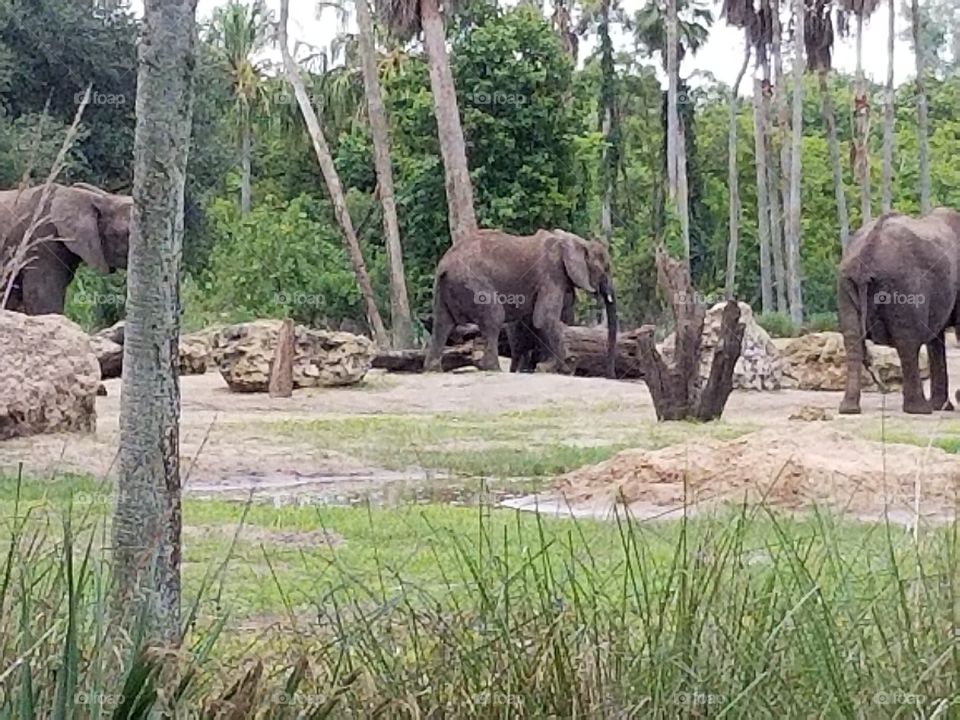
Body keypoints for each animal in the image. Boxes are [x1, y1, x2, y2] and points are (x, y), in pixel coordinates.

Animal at [426, 229, 620, 376]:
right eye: (606, 268)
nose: (610, 375)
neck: (577, 242)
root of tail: (444, 265)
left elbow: (538, 322)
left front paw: (546, 368)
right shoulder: (551, 274)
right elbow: (544, 318)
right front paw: (566, 366)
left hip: (445, 288)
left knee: (442, 324)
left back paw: (434, 370)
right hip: (472, 282)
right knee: (494, 317)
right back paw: (493, 368)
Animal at [836, 205, 960, 414]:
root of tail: (867, 252)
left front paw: (943, 407)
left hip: (846, 285)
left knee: (852, 341)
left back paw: (848, 409)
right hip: (904, 285)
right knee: (907, 342)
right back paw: (920, 409)